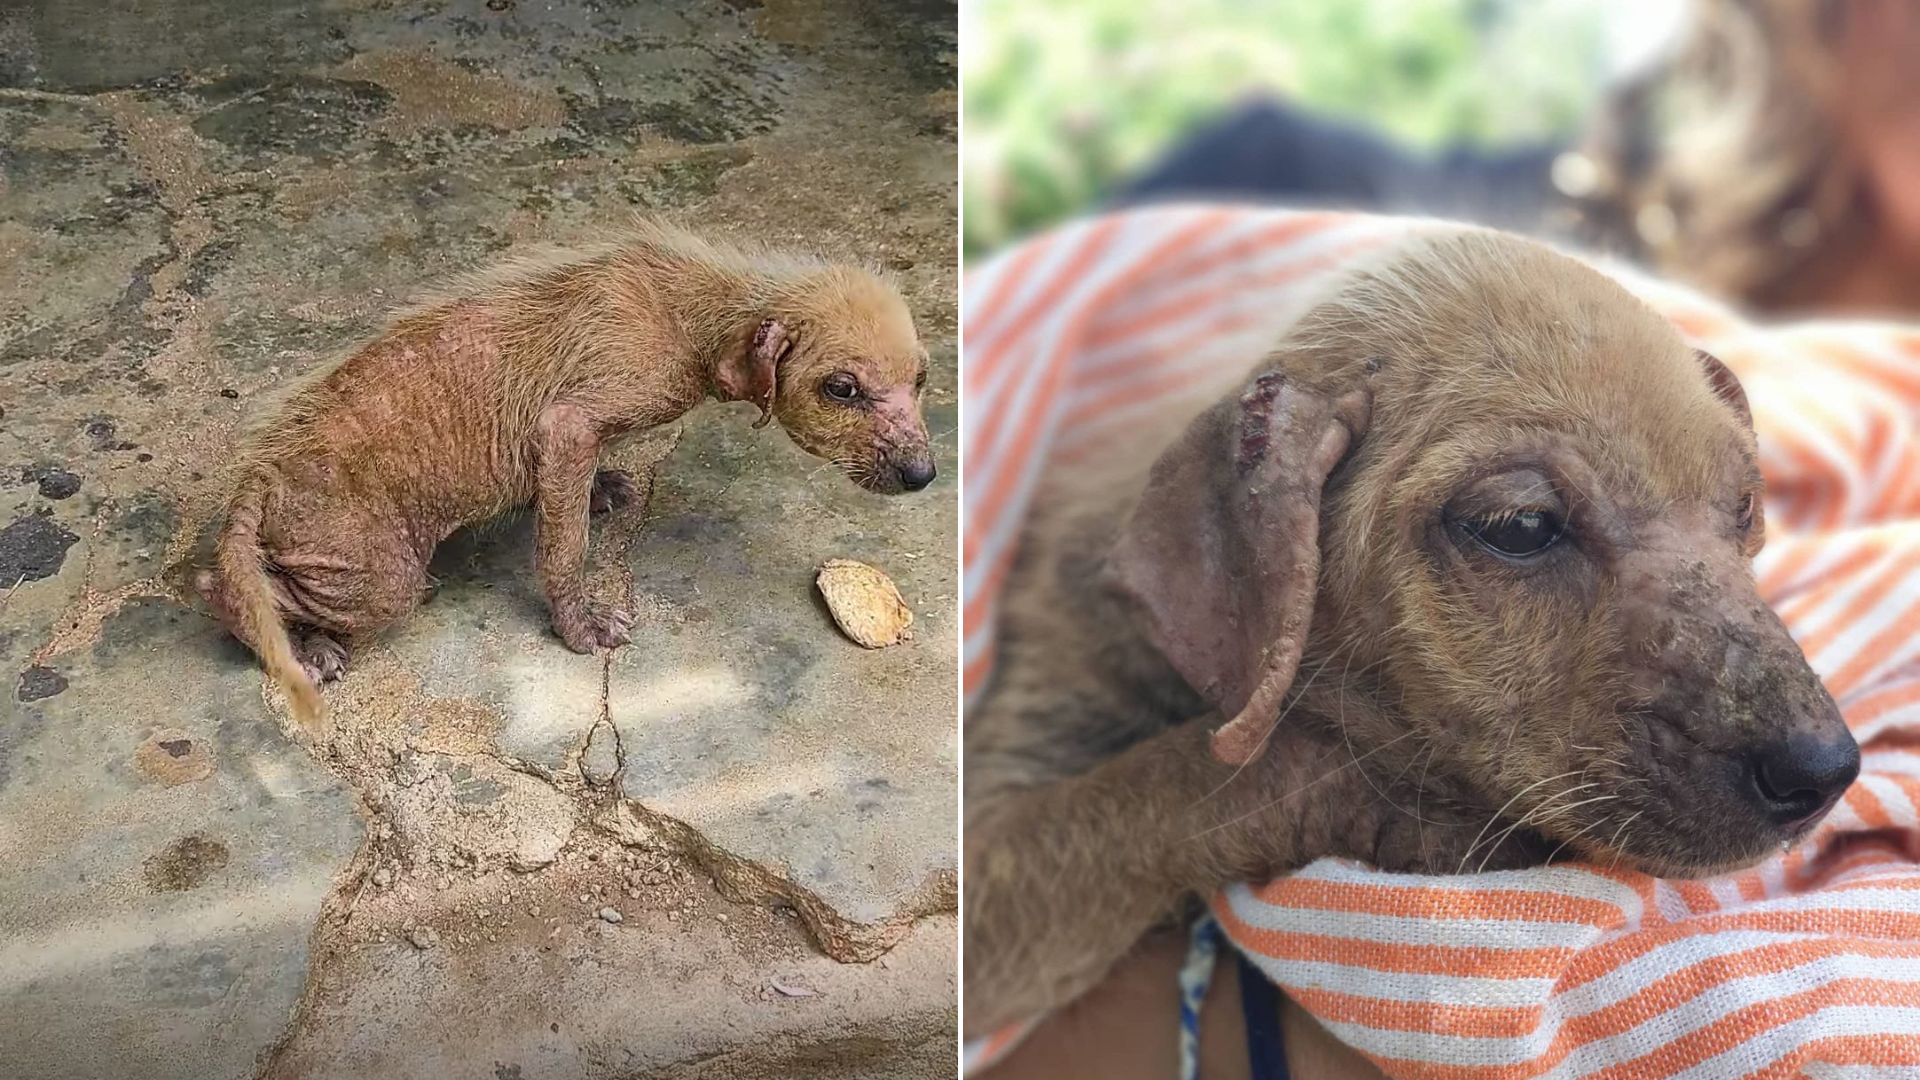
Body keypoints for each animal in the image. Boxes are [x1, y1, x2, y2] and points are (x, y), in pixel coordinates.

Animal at [196, 223, 936, 734]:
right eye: (841, 388)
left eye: (924, 378)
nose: (924, 475)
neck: (695, 308)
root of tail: (259, 478)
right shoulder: (569, 424)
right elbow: (564, 547)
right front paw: (580, 625)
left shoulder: (565, 445)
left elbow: (565, 498)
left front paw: (602, 489)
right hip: (382, 579)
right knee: (223, 588)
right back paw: (307, 651)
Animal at [967, 231, 1850, 1030]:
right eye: (1520, 525)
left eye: (1744, 508)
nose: (1825, 773)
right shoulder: (998, 837)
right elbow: (1190, 775)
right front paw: (1416, 811)